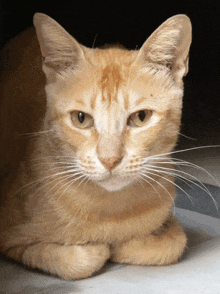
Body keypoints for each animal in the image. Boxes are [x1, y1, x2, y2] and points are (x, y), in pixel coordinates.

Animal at [0, 13, 191, 280]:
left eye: (141, 117)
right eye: (81, 119)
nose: (110, 159)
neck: (112, 212)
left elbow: (172, 243)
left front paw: (126, 244)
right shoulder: (9, 236)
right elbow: (80, 260)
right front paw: (98, 248)